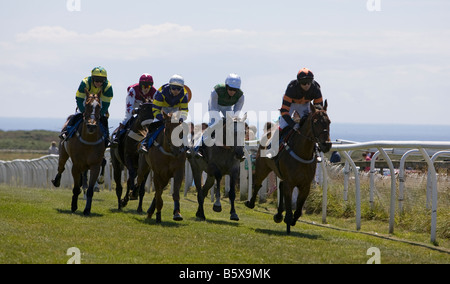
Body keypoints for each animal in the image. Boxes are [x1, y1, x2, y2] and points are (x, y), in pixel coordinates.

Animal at [244, 101, 332, 234]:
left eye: (329, 121)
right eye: (316, 122)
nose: (326, 145)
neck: (302, 152)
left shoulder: (305, 185)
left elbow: (298, 210)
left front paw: (290, 220)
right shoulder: (290, 183)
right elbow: (290, 206)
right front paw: (288, 219)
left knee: (280, 185)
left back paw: (279, 214)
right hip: (262, 166)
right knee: (258, 183)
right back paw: (251, 203)